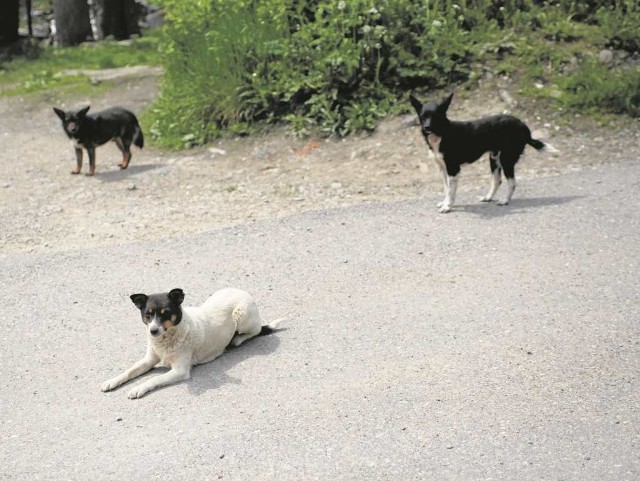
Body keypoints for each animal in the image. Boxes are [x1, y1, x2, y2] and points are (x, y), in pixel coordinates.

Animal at [410, 93, 556, 211]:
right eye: (423, 117)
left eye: (435, 116)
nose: (427, 127)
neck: (441, 133)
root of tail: (522, 125)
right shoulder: (443, 168)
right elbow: (446, 188)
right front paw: (445, 203)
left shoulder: (453, 169)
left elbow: (451, 190)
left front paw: (448, 206)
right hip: (494, 158)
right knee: (497, 180)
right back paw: (488, 197)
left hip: (506, 159)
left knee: (512, 182)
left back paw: (505, 201)